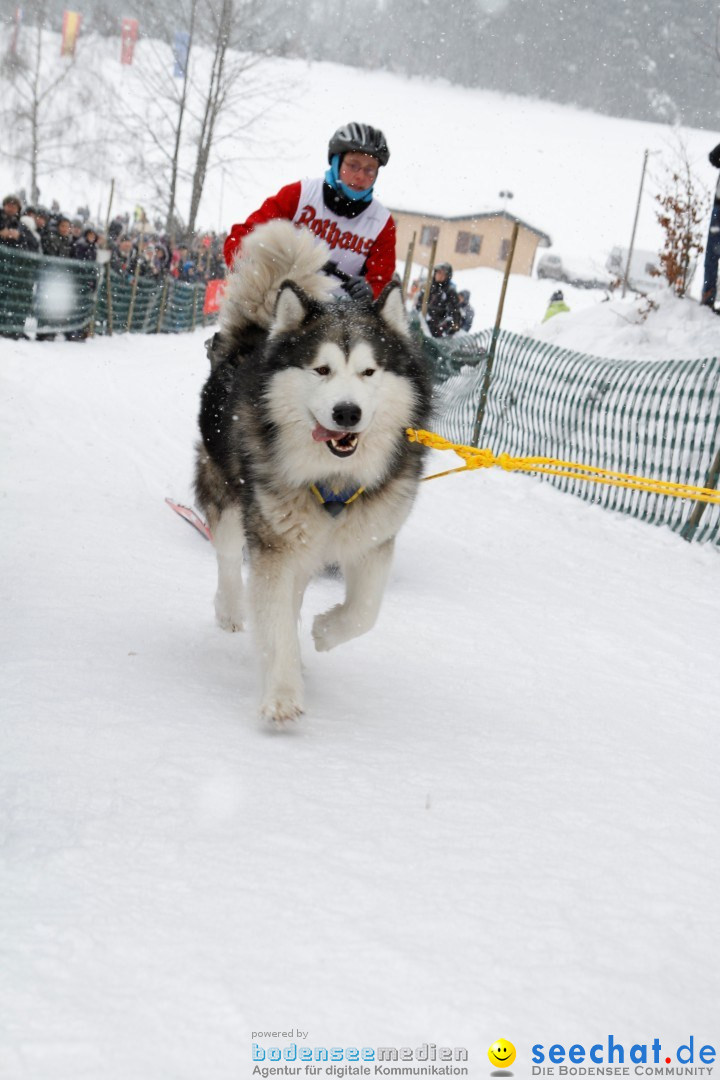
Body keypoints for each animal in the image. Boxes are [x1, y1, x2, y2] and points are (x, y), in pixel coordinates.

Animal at [193, 220, 433, 725]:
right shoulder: (275, 547)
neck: (334, 481)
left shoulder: (374, 538)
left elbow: (365, 610)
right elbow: (275, 621)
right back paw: (230, 608)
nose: (347, 413)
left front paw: (324, 631)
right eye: (321, 369)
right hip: (228, 492)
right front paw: (282, 694)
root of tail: (254, 339)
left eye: (368, 372)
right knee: (227, 554)